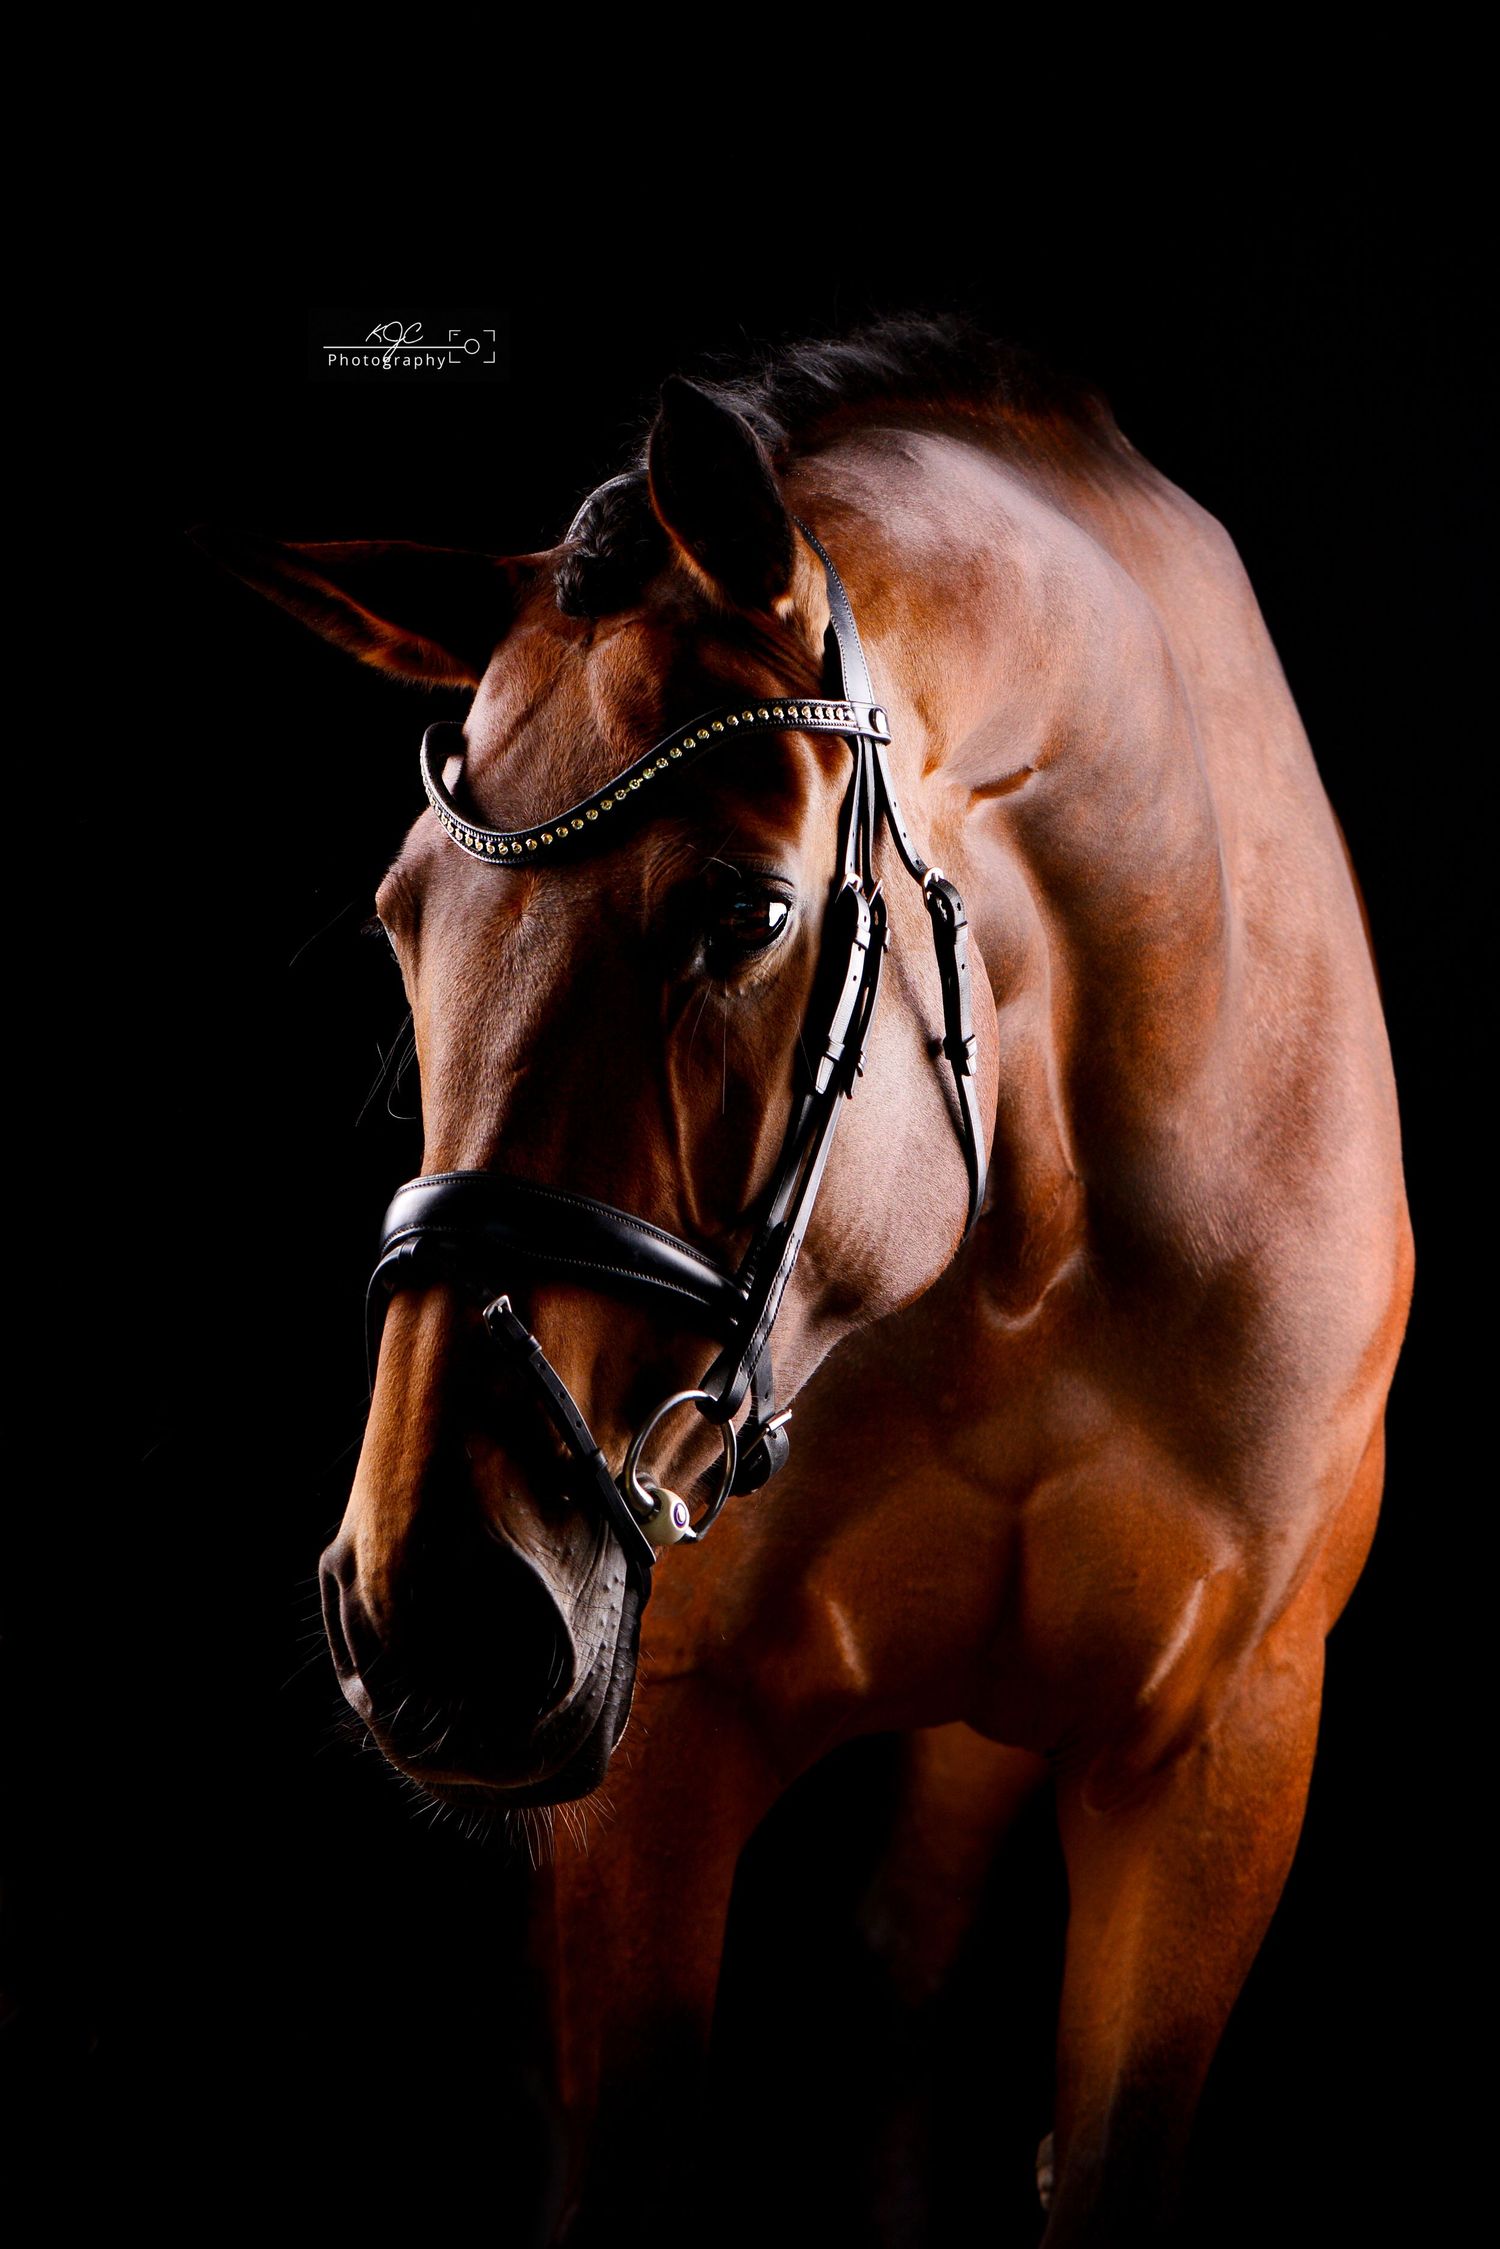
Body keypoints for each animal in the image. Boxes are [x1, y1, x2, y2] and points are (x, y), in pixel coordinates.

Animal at [195, 316, 1412, 2243]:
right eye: (401, 923)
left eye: (748, 913)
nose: (433, 1611)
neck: (1033, 1241)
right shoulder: (656, 1770)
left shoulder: (1217, 1766)